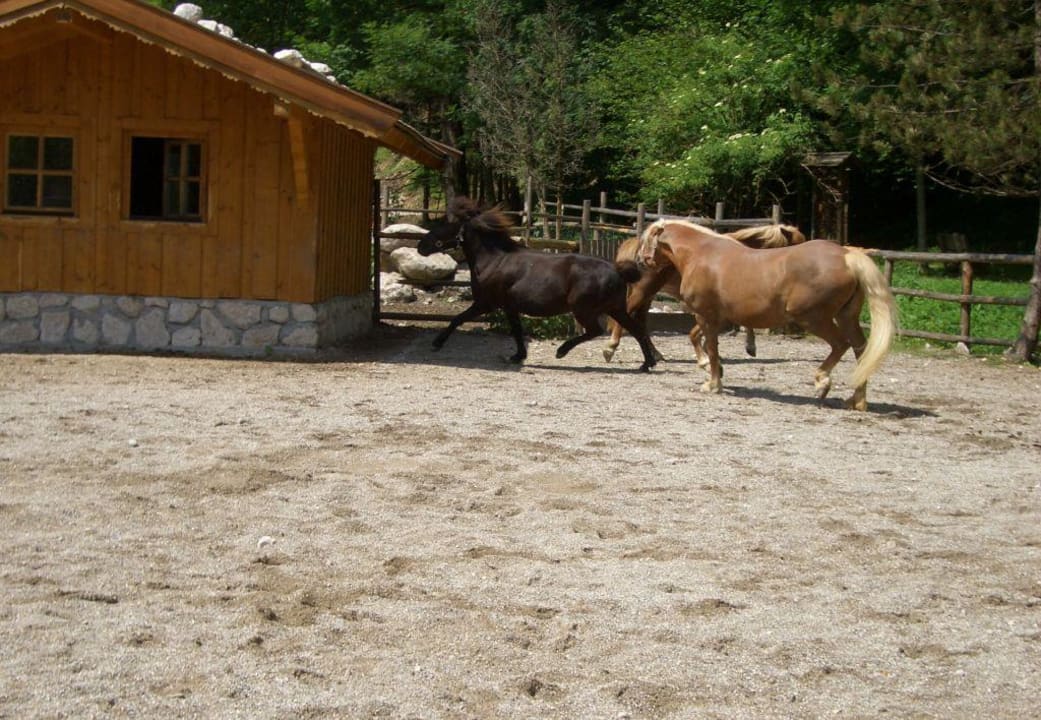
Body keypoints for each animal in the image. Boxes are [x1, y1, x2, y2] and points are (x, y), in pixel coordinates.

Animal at [416, 197, 658, 371]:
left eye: (446, 223)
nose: (421, 246)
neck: (493, 260)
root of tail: (616, 270)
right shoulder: (509, 307)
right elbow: (516, 330)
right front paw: (517, 356)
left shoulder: (485, 304)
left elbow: (457, 319)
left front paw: (437, 343)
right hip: (615, 308)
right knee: (636, 330)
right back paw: (647, 363)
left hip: (583, 308)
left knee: (595, 330)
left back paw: (561, 351)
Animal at [602, 224, 807, 364]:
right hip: (644, 291)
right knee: (628, 314)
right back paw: (611, 348)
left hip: (648, 294)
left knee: (640, 320)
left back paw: (655, 354)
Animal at [636, 219, 896, 410]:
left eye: (648, 239)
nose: (640, 261)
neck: (701, 254)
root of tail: (846, 256)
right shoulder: (721, 318)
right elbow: (701, 342)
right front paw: (714, 371)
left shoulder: (706, 316)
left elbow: (711, 348)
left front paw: (712, 384)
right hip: (846, 317)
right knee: (861, 349)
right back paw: (858, 401)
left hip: (813, 318)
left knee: (841, 344)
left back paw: (822, 383)